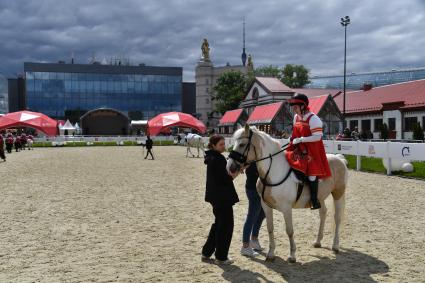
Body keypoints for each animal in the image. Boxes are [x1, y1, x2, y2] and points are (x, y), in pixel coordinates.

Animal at [227, 126, 346, 264]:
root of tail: (339, 158)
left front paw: (292, 255)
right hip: (320, 198)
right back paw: (318, 241)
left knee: (337, 218)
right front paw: (271, 254)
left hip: (338, 194)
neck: (273, 171)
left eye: (242, 144)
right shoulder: (266, 207)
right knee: (323, 213)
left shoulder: (286, 208)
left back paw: (335, 245)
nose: (230, 167)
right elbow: (270, 228)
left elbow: (289, 230)